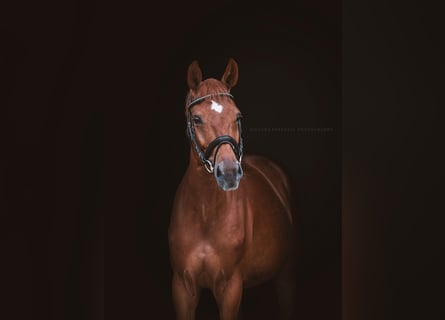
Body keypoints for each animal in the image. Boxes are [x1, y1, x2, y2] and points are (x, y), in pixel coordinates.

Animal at [167, 58, 294, 318]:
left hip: (284, 273)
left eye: (237, 116)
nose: (228, 173)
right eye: (196, 119)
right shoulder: (182, 287)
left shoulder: (230, 289)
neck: (205, 213)